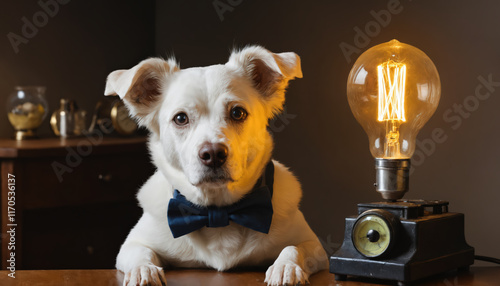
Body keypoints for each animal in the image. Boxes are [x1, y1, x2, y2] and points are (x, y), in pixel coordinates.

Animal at [104, 45, 328, 284]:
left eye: (237, 113)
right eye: (181, 118)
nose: (212, 154)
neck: (219, 212)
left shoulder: (315, 247)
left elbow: (293, 248)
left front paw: (286, 267)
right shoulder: (132, 244)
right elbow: (140, 252)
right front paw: (142, 270)